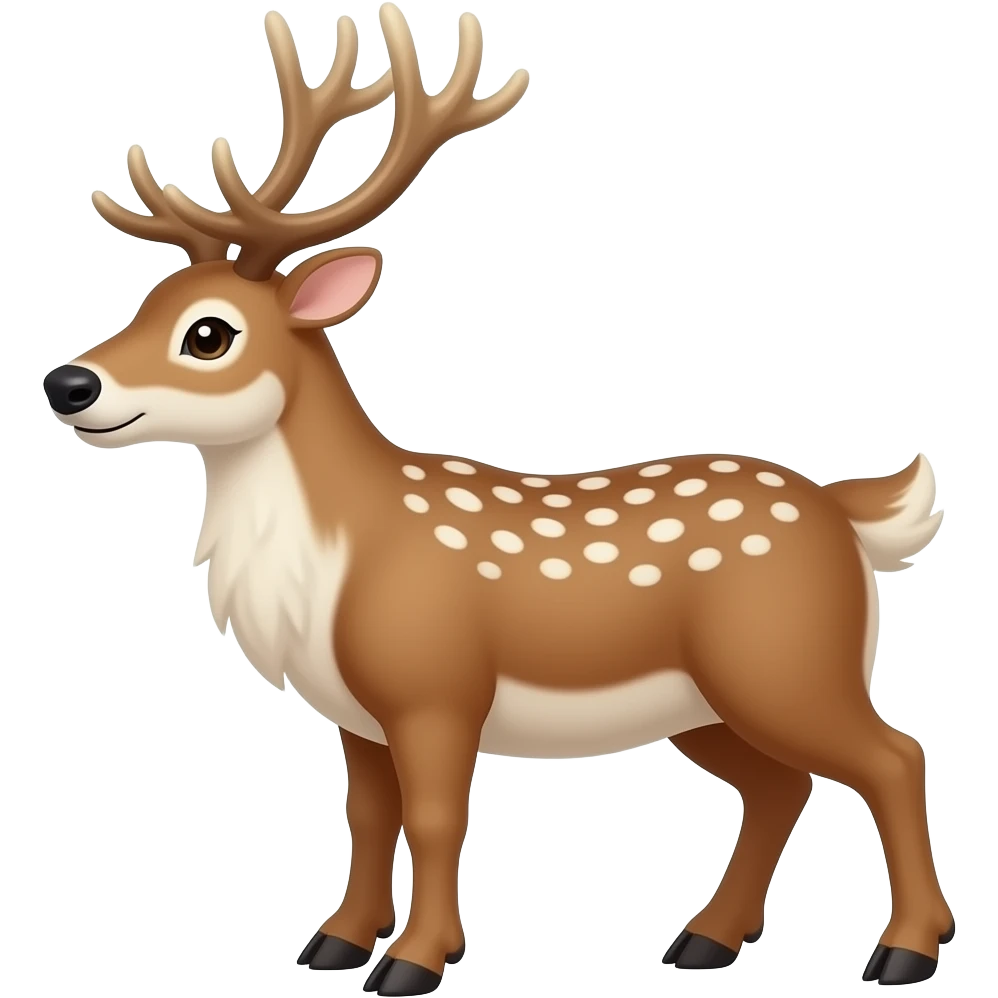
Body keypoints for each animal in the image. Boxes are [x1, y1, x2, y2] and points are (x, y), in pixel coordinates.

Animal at [44, 5, 952, 994]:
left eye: (209, 334)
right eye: (146, 301)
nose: (68, 383)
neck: (339, 558)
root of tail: (846, 515)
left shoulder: (435, 685)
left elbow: (438, 818)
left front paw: (414, 961)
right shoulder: (356, 712)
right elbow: (369, 818)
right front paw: (336, 943)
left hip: (787, 661)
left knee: (894, 756)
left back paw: (903, 950)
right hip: (709, 699)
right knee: (780, 784)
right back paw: (704, 940)